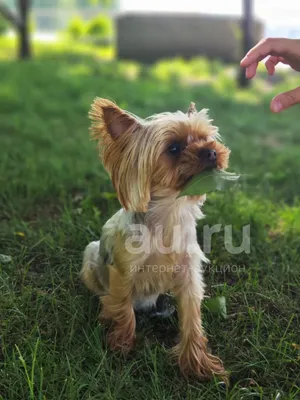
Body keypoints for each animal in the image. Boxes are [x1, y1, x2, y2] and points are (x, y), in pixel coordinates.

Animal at [81, 98, 231, 380]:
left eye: (205, 138)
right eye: (173, 148)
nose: (211, 152)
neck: (170, 210)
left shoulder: (188, 273)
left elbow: (192, 318)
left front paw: (197, 363)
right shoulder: (123, 271)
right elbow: (123, 307)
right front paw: (121, 344)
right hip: (91, 255)